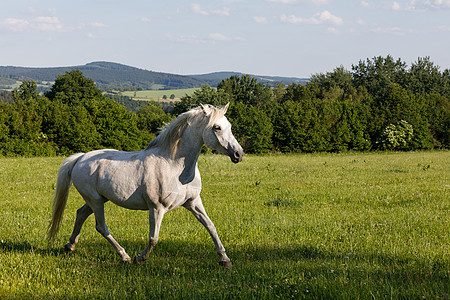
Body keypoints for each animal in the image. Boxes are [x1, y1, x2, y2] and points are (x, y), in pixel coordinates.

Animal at [48, 103, 244, 268]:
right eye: (216, 127)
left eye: (229, 126)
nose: (238, 154)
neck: (175, 167)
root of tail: (80, 158)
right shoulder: (157, 208)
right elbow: (153, 238)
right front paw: (140, 258)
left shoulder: (193, 202)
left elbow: (211, 226)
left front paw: (225, 260)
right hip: (95, 201)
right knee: (101, 226)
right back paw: (124, 256)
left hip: (98, 200)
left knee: (81, 213)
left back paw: (70, 246)